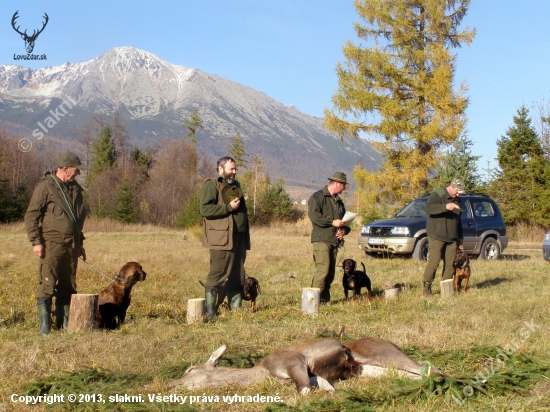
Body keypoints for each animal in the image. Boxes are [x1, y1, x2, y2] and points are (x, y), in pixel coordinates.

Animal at [170, 338, 364, 396]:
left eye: (190, 369)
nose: (169, 384)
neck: (266, 374)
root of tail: (343, 348)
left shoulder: (292, 361)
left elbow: (303, 389)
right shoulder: (310, 374)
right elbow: (318, 382)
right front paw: (330, 391)